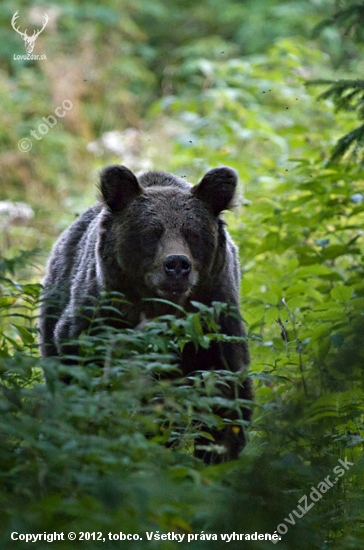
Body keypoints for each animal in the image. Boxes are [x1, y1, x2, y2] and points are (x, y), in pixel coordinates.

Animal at [38, 166, 252, 464]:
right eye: (151, 233)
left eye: (193, 234)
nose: (177, 264)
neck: (161, 309)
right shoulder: (100, 318)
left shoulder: (214, 318)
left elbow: (226, 394)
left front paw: (216, 455)